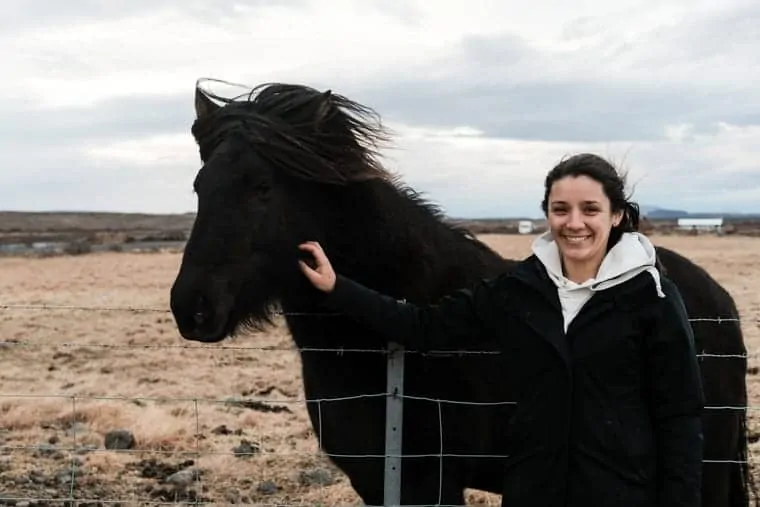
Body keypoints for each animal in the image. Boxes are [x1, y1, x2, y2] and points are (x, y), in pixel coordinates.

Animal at [169, 80, 752, 507]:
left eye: (262, 188)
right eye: (199, 186)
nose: (191, 307)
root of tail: (719, 304)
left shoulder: (431, 483)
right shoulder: (374, 479)